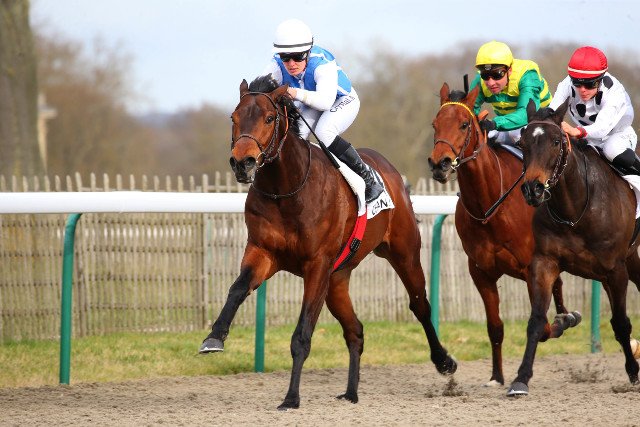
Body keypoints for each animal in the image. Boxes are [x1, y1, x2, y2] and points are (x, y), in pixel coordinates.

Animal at [199, 75, 456, 410]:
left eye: (268, 118)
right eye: (233, 117)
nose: (243, 163)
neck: (287, 190)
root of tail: (389, 170)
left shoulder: (317, 265)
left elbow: (302, 335)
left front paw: (291, 397)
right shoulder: (263, 252)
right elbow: (237, 288)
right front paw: (214, 337)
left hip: (404, 252)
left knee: (419, 304)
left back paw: (444, 361)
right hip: (337, 279)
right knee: (355, 330)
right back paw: (351, 392)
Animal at [427, 83, 577, 387]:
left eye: (464, 124)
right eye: (435, 124)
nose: (440, 164)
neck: (489, 206)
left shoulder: (531, 268)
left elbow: (543, 326)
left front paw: (560, 322)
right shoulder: (481, 272)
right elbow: (495, 327)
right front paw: (496, 376)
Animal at [509, 99, 640, 396]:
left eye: (557, 141)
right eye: (522, 142)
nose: (533, 189)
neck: (575, 211)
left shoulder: (616, 270)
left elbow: (621, 324)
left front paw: (633, 372)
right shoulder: (544, 262)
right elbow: (536, 321)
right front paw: (521, 379)